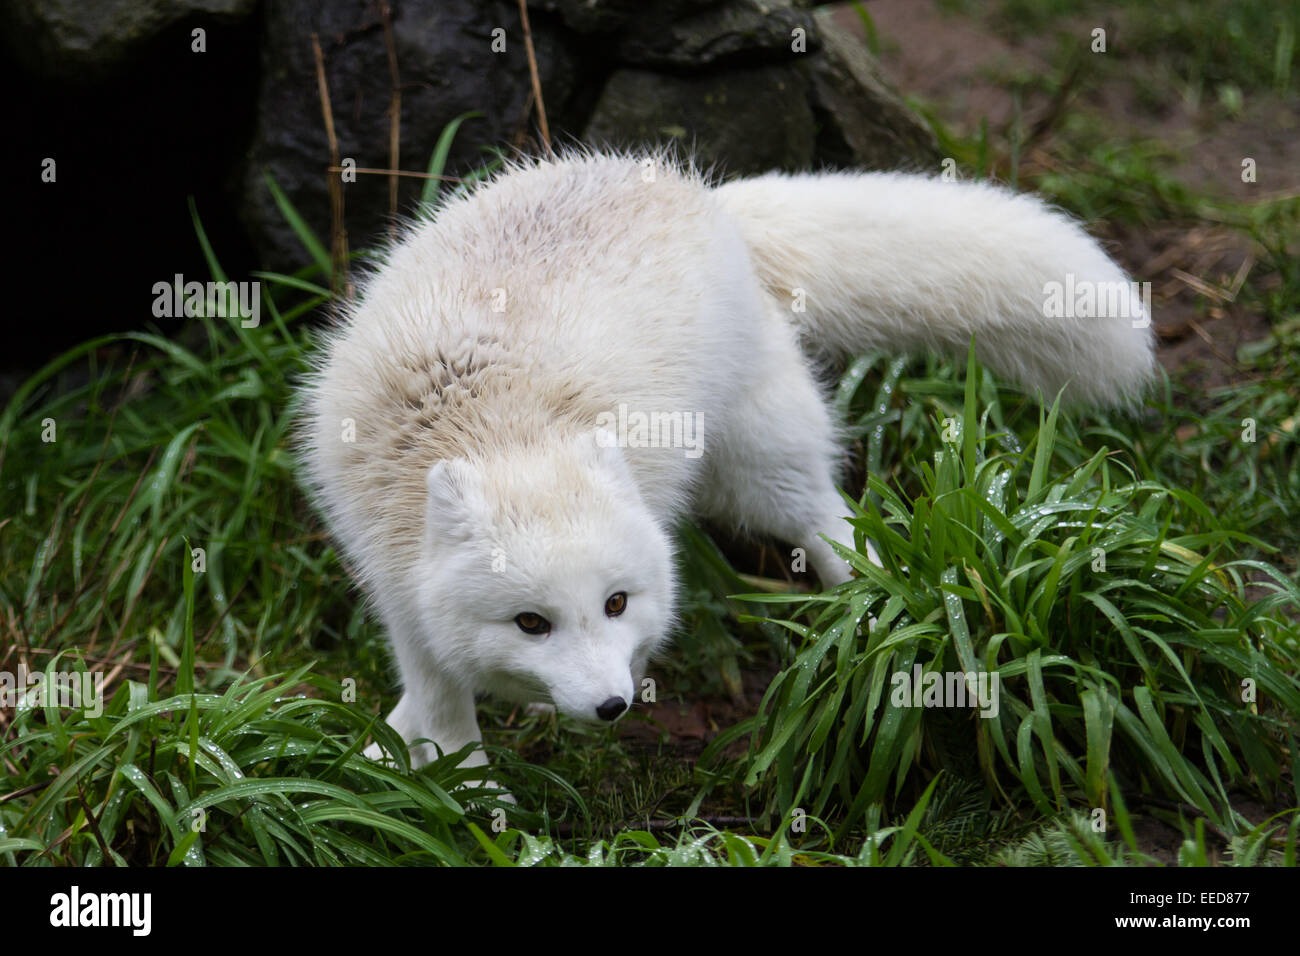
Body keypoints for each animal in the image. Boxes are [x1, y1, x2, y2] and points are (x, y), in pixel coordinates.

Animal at [298, 149, 1154, 774]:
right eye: (531, 623)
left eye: (615, 603)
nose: (613, 707)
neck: (503, 430)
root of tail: (702, 194)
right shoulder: (393, 578)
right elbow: (436, 693)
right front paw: (445, 773)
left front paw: (466, 799)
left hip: (759, 462)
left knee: (827, 518)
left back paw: (879, 602)